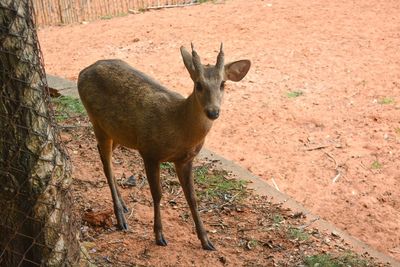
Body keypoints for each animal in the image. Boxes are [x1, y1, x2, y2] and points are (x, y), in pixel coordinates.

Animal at [77, 44, 250, 251]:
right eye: (198, 84)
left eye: (223, 84)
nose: (213, 112)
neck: (178, 127)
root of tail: (82, 71)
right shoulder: (149, 151)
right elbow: (157, 194)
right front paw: (159, 236)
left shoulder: (186, 159)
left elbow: (192, 198)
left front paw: (206, 241)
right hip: (96, 120)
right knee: (106, 164)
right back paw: (120, 218)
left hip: (117, 132)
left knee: (103, 155)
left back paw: (124, 206)